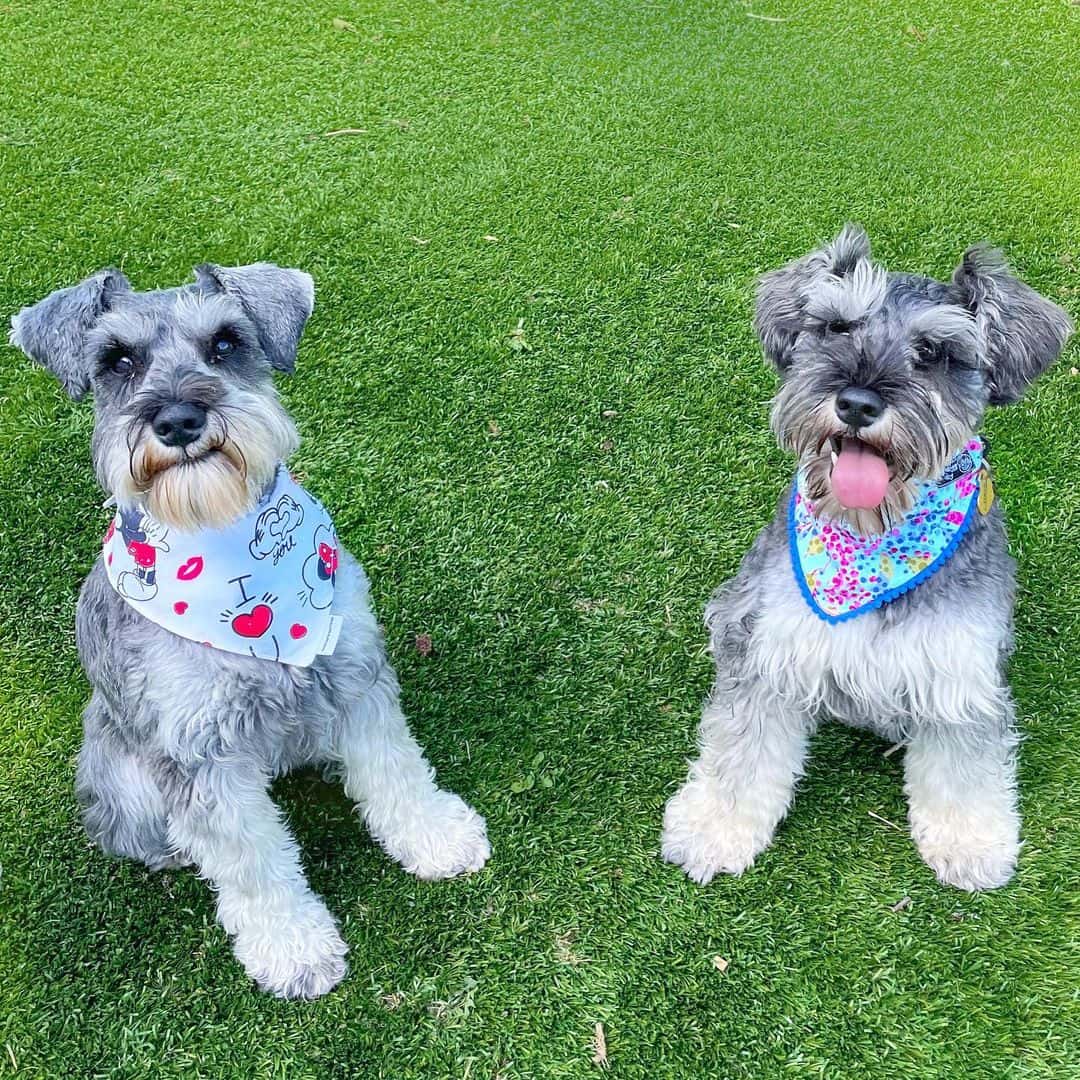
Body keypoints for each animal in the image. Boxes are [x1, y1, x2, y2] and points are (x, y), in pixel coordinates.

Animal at [7, 261, 490, 993]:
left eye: (227, 343)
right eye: (117, 360)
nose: (179, 418)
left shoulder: (354, 681)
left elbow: (396, 771)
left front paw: (435, 836)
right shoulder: (197, 754)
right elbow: (251, 861)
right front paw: (292, 949)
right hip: (124, 778)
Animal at [656, 227, 1071, 894]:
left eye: (933, 351)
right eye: (836, 326)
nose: (855, 403)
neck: (871, 543)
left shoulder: (958, 673)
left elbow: (965, 764)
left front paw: (970, 840)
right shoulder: (770, 652)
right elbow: (742, 750)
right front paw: (714, 828)